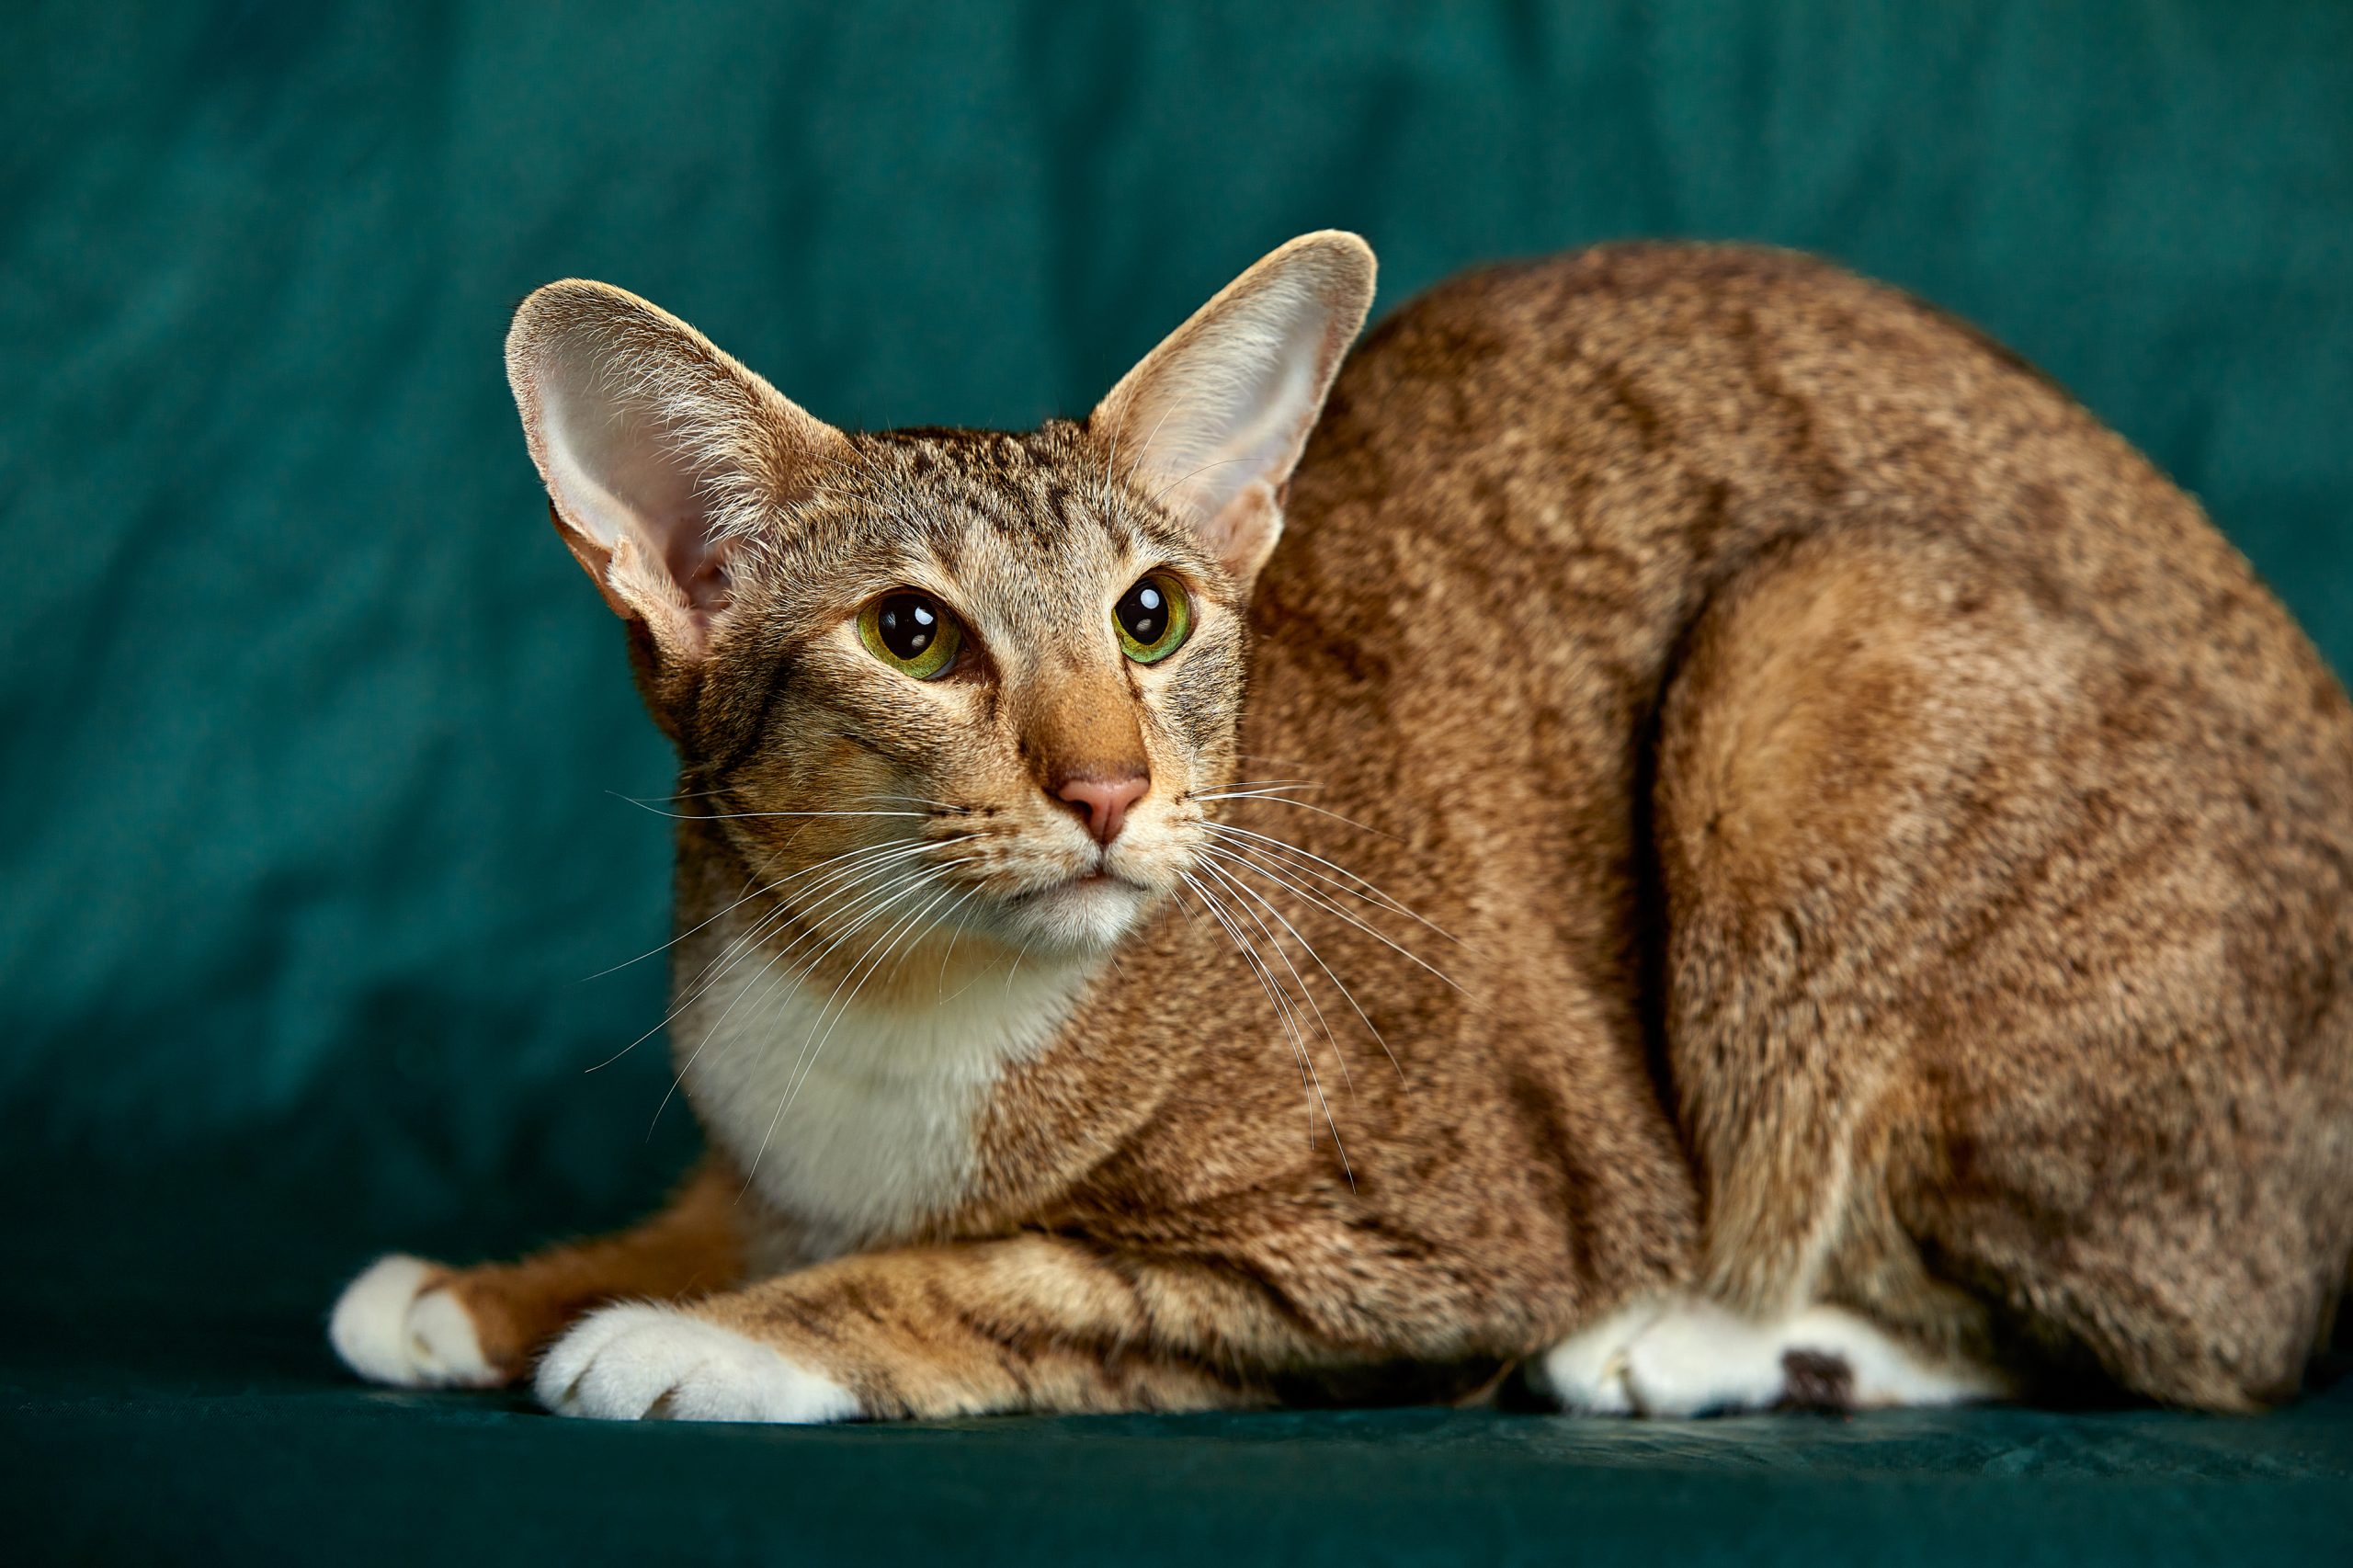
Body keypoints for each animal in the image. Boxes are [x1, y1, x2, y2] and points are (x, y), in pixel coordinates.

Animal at [326, 232, 2353, 1412]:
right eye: (912, 634)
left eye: (1152, 616)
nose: (1106, 786)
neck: (881, 1000)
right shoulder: (766, 1138)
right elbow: (729, 1214)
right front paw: (507, 1283)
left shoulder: (1433, 1232)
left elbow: (1003, 1273)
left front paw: (701, 1332)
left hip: (1824, 634)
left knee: (2138, 1339)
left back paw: (1706, 1337)